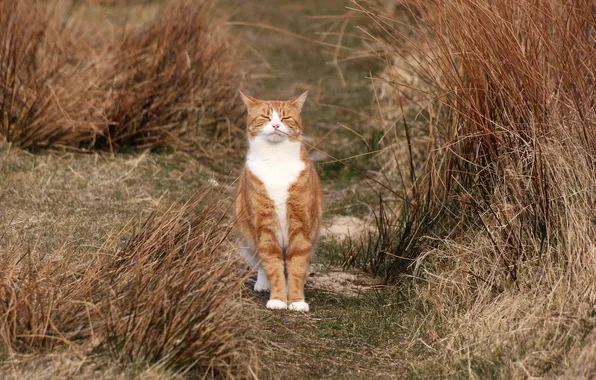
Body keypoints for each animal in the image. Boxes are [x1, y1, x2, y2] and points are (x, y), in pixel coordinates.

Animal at [235, 90, 324, 312]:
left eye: (285, 118)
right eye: (266, 117)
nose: (275, 125)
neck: (276, 161)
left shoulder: (301, 226)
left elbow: (297, 266)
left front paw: (297, 300)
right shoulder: (265, 225)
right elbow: (272, 265)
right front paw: (277, 299)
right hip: (246, 240)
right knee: (261, 263)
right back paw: (263, 283)